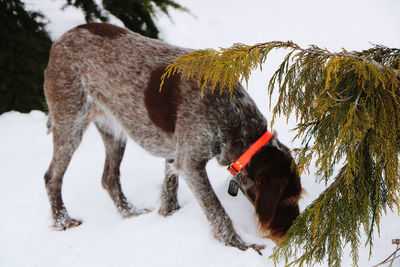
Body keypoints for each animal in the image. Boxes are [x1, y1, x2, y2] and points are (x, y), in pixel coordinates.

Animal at [43, 22, 302, 253]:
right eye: (288, 200)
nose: (292, 237)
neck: (236, 118)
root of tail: (61, 39)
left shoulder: (176, 153)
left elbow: (169, 190)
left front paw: (168, 217)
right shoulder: (190, 163)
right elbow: (217, 212)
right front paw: (240, 246)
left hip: (114, 130)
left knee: (109, 178)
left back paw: (130, 213)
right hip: (70, 122)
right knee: (52, 177)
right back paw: (63, 221)